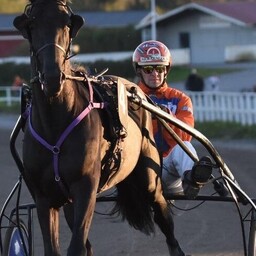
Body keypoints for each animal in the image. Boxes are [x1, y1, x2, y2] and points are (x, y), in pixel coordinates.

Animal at [13, 1, 184, 255]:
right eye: (33, 24)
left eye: (67, 24)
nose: (53, 77)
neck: (55, 124)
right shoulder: (44, 197)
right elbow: (56, 247)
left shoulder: (85, 188)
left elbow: (76, 246)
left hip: (149, 178)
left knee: (165, 220)